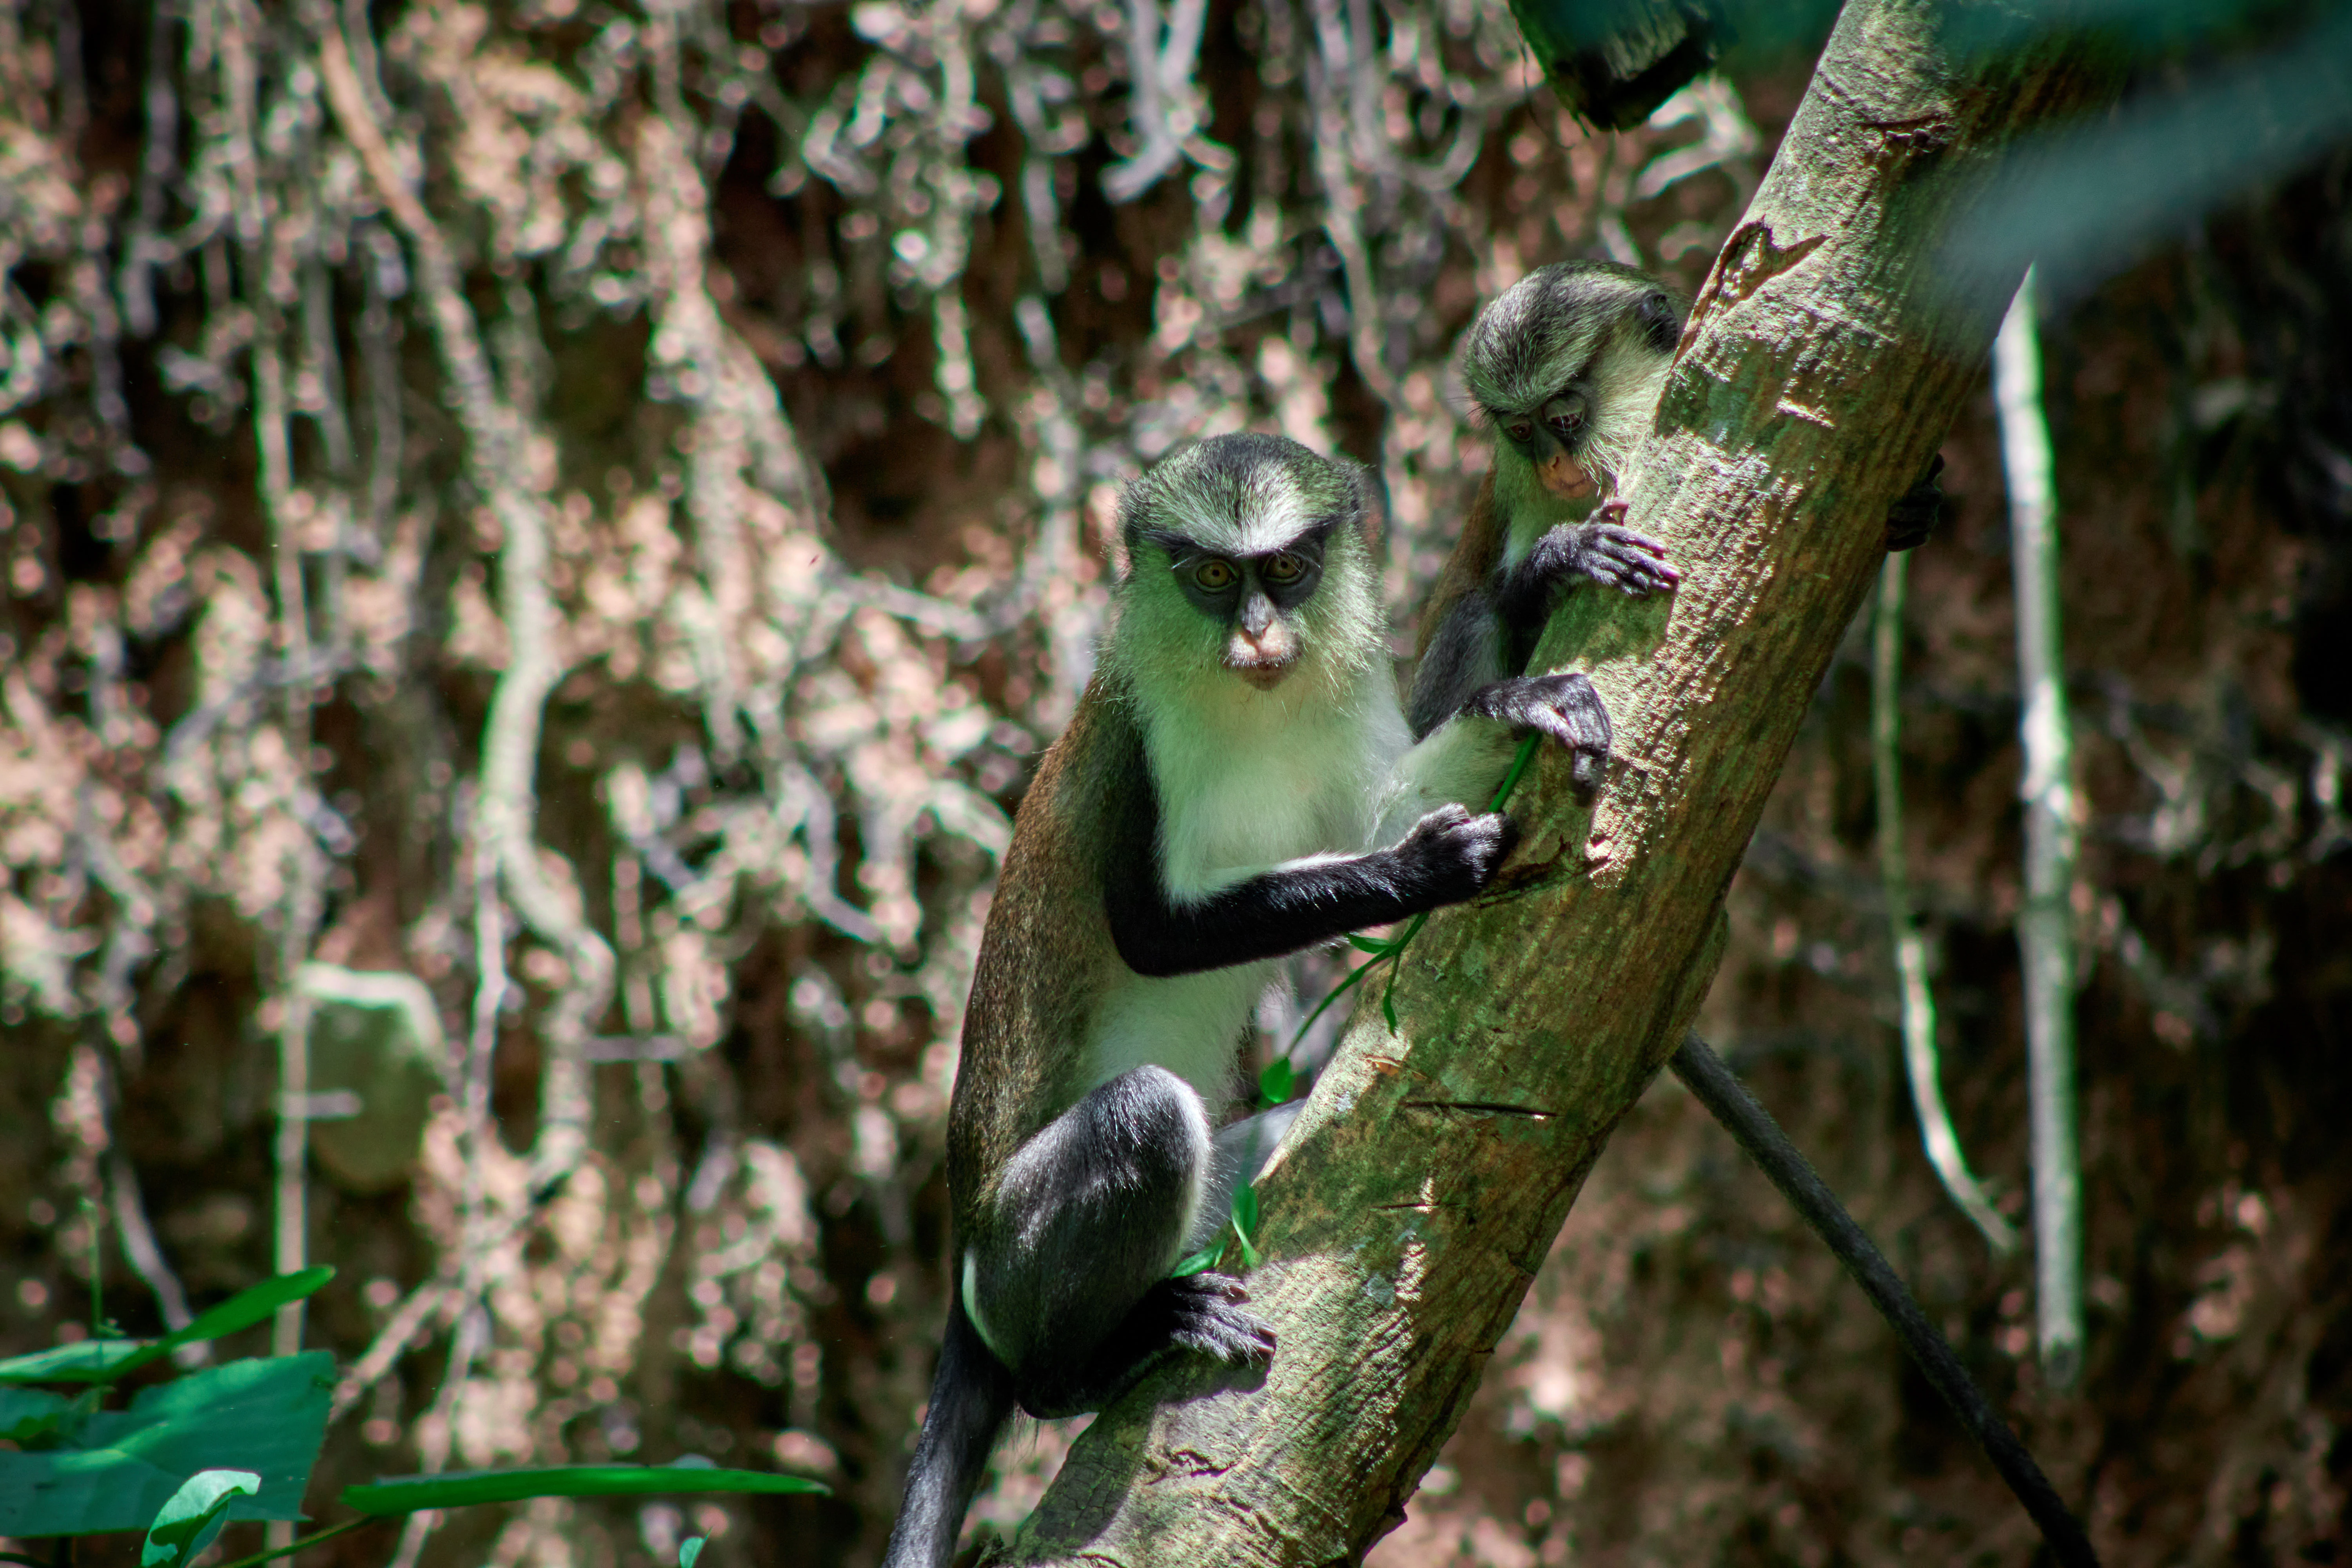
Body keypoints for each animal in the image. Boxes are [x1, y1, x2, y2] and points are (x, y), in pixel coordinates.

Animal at [881, 432, 1624, 1568]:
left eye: (1285, 569)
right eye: (1211, 577)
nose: (1261, 637)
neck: (1258, 710)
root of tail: (966, 1260)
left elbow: (1392, 807)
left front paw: (1540, 595)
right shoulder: (1142, 748)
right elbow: (1157, 932)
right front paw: (1426, 870)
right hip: (1015, 1259)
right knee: (1142, 1121)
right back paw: (1092, 1364)